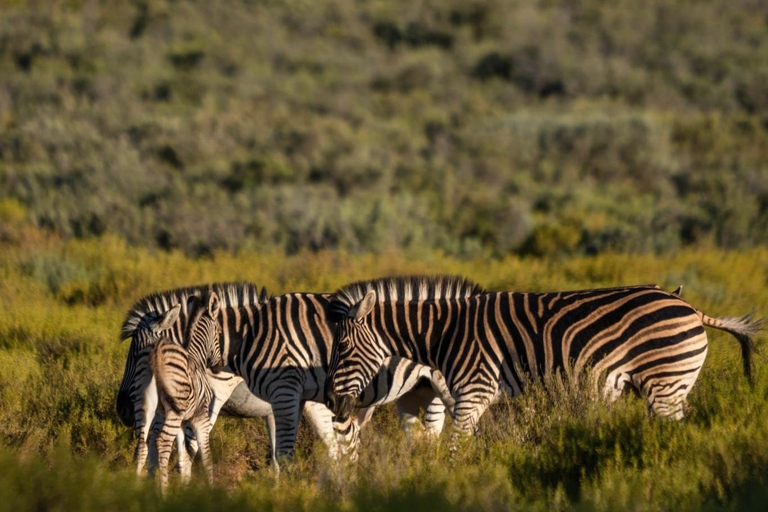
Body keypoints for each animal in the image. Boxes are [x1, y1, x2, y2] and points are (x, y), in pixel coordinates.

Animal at [150, 290, 222, 490]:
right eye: (219, 332)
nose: (219, 366)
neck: (196, 357)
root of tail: (158, 354)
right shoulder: (200, 415)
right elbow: (206, 456)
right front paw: (212, 490)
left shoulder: (183, 422)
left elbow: (184, 457)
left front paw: (184, 489)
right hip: (174, 410)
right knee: (162, 441)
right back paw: (163, 490)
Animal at [324, 274, 760, 438]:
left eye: (341, 349)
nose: (331, 403)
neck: (445, 334)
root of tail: (690, 307)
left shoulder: (472, 393)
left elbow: (457, 449)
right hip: (673, 387)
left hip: (664, 385)